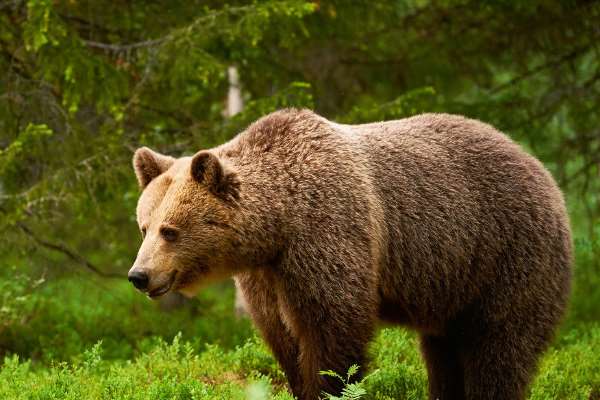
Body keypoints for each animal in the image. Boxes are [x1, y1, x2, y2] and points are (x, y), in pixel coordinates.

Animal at [127, 109, 572, 400]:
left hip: (508, 254)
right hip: (453, 284)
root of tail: (540, 168)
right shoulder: (267, 274)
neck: (279, 224)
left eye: (170, 230)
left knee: (499, 346)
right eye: (144, 226)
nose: (139, 275)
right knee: (444, 351)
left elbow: (333, 326)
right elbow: (281, 335)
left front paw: (328, 385)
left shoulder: (328, 229)